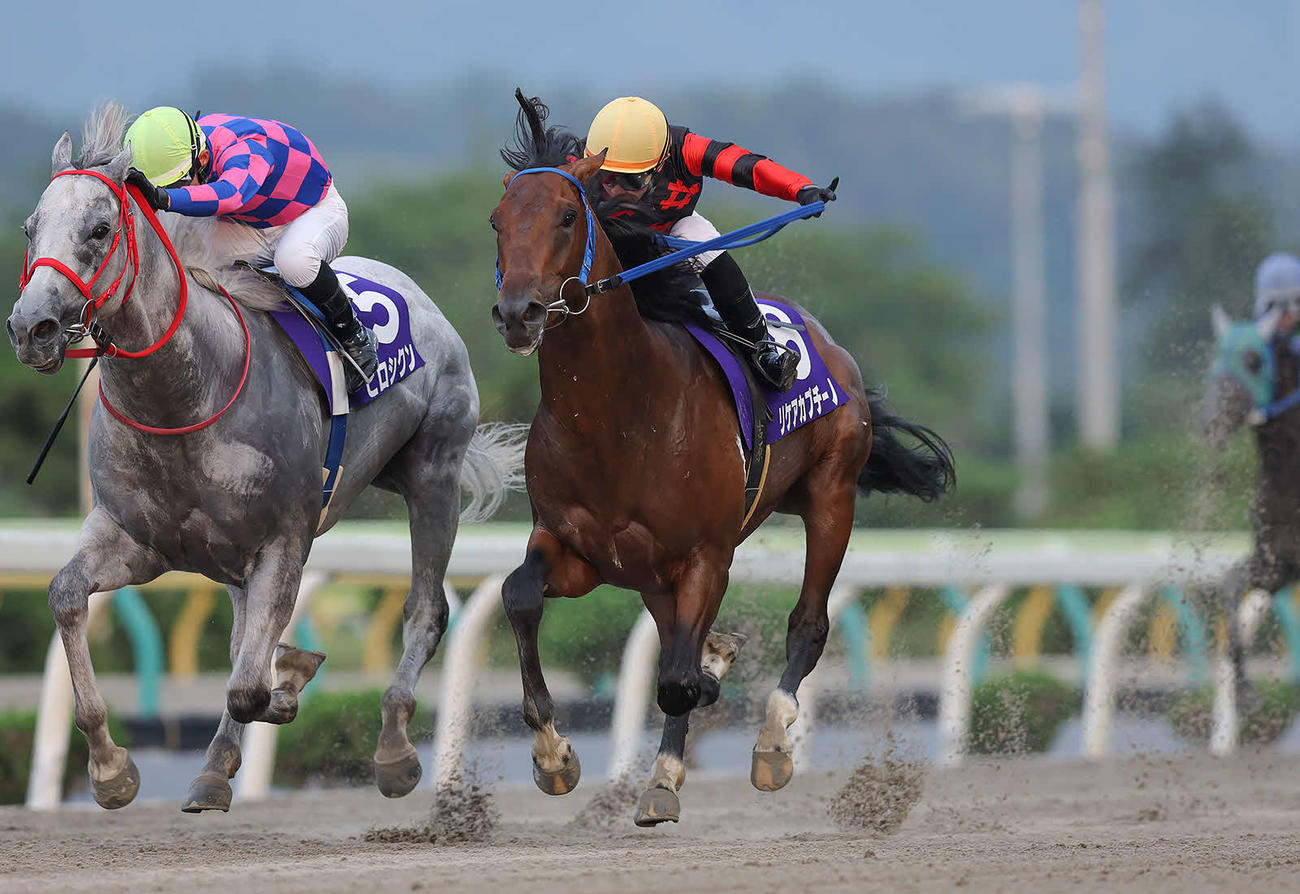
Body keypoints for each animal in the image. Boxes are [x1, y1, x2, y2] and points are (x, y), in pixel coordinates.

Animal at [6, 105, 524, 812]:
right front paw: (112, 770)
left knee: (425, 610)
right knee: (242, 634)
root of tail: (419, 296)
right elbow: (65, 596)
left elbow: (249, 685)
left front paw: (287, 681)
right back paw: (217, 764)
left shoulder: (283, 541)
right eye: (31, 228)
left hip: (433, 475)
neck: (185, 393)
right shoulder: (136, 538)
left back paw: (393, 750)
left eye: (99, 229)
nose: (30, 328)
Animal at [489, 93, 954, 825]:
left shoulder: (706, 556)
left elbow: (680, 678)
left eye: (567, 216)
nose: (519, 312)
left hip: (832, 496)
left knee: (807, 625)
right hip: (651, 575)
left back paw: (768, 745)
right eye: (497, 221)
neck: (619, 416)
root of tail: (829, 344)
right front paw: (552, 755)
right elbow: (519, 596)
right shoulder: (577, 550)